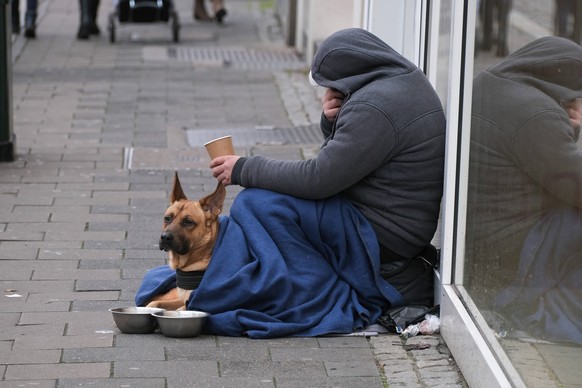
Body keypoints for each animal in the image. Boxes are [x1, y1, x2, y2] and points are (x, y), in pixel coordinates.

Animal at [145, 172, 226, 310]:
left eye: (188, 221)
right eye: (167, 218)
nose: (164, 237)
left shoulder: (194, 304)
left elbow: (180, 310)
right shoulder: (181, 299)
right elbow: (154, 303)